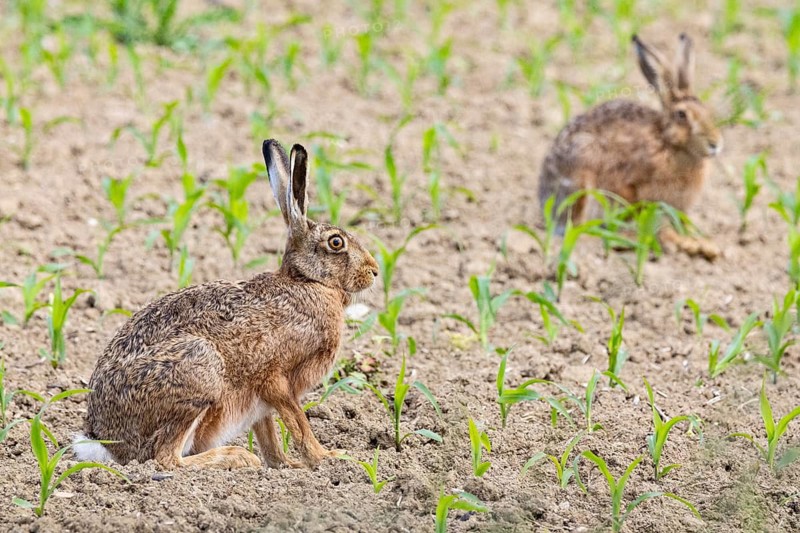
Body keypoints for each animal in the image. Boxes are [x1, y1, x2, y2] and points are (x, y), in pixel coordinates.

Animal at [74, 140, 379, 470]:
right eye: (336, 243)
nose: (375, 271)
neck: (307, 281)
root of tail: (104, 441)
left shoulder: (260, 401)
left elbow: (269, 434)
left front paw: (286, 466)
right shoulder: (275, 377)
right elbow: (298, 423)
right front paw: (327, 458)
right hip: (199, 370)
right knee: (166, 458)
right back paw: (237, 456)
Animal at [537, 33, 723, 260]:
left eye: (708, 112)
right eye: (682, 115)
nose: (715, 143)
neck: (668, 143)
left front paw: (699, 243)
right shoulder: (628, 186)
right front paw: (672, 241)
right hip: (580, 182)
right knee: (580, 229)